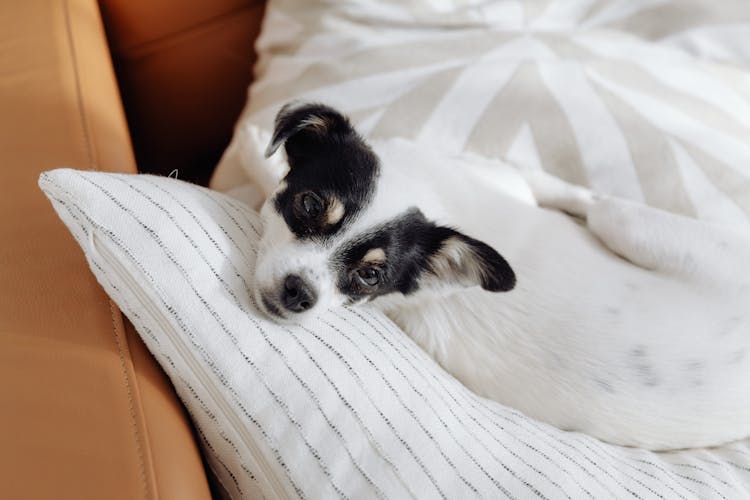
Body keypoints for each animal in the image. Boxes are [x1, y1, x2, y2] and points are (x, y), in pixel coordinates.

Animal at [242, 100, 750, 450]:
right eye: (310, 205)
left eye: (371, 276)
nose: (299, 293)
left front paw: (253, 151)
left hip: (630, 225)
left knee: (596, 204)